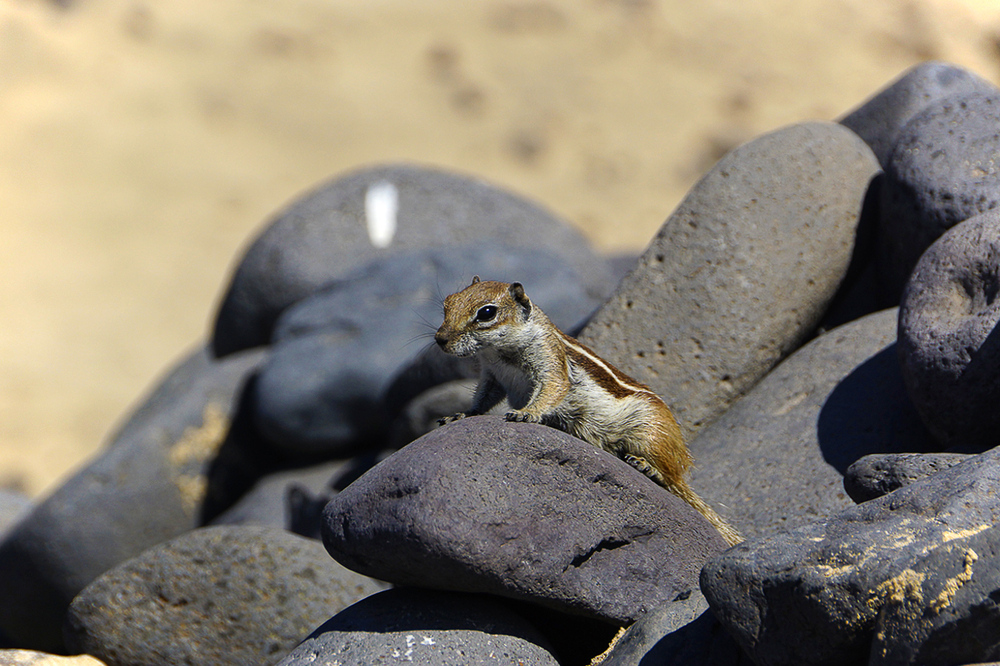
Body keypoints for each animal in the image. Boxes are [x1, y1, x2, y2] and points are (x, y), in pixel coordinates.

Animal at [434, 278, 740, 544]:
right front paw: (462, 414)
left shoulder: (550, 362)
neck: (500, 353)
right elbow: (483, 399)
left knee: (672, 477)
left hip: (650, 433)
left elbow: (552, 390)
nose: (440, 339)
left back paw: (649, 467)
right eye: (448, 303)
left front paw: (527, 413)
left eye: (487, 313)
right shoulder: (492, 376)